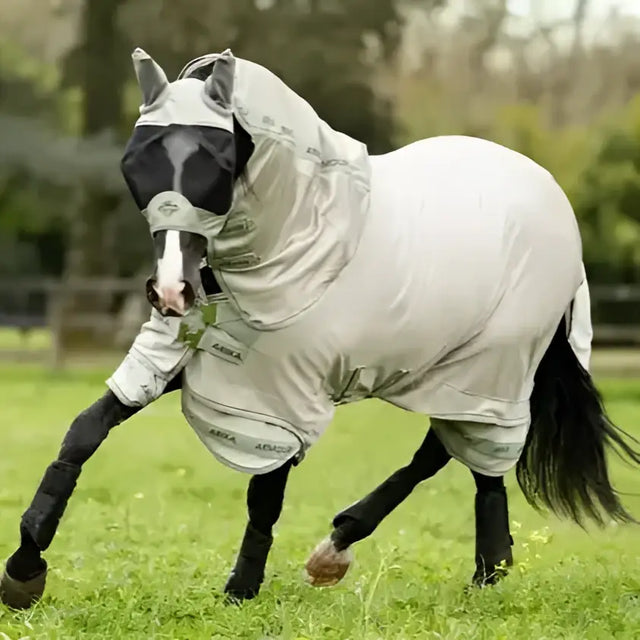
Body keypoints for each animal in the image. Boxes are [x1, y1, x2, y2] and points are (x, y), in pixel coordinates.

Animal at [2, 48, 639, 611]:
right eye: (136, 161)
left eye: (218, 164)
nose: (170, 292)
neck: (299, 244)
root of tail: (552, 198)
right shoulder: (182, 359)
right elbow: (84, 433)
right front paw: (24, 568)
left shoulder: (280, 397)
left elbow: (265, 495)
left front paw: (240, 592)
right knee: (450, 451)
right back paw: (441, 561)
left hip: (493, 369)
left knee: (464, 453)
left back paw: (418, 560)